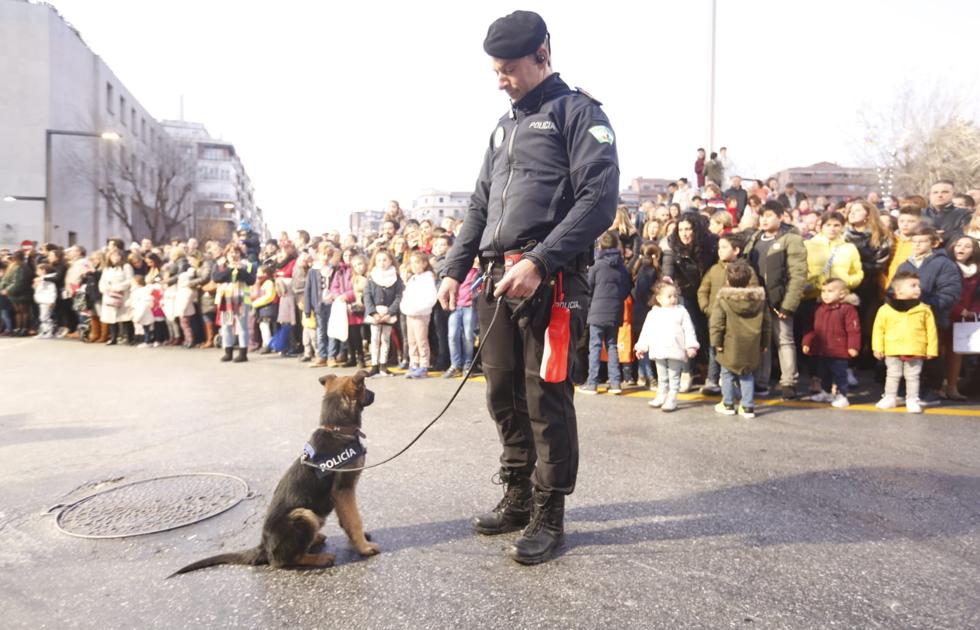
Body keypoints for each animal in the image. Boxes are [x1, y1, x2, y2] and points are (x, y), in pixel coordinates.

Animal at [170, 372, 378, 580]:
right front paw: (364, 548)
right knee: (281, 561)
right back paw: (319, 558)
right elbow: (354, 520)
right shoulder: (344, 491)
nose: (375, 394)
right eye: (365, 387)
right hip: (304, 515)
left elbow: (347, 520)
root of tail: (263, 547)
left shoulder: (343, 494)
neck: (337, 430)